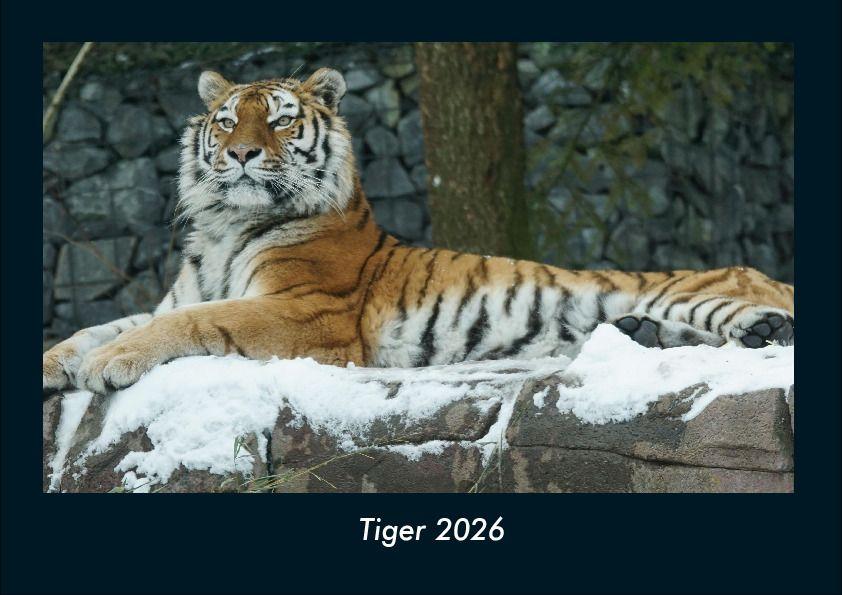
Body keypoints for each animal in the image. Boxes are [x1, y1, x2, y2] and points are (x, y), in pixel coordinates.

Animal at [43, 68, 795, 395]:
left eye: (281, 119)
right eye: (227, 120)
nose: (243, 153)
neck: (227, 226)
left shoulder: (306, 311)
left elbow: (191, 323)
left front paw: (109, 364)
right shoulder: (182, 293)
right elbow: (99, 325)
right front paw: (61, 361)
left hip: (701, 290)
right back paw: (648, 334)